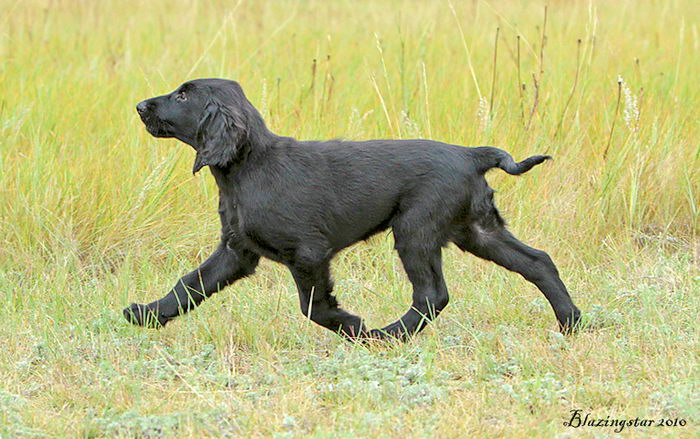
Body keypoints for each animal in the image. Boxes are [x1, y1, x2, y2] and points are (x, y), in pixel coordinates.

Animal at [124, 79, 580, 340]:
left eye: (183, 94)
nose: (140, 106)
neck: (247, 167)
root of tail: (470, 154)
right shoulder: (237, 251)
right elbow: (188, 285)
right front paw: (147, 314)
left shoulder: (308, 253)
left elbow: (314, 306)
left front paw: (352, 327)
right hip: (475, 229)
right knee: (538, 262)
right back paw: (572, 323)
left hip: (415, 230)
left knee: (432, 294)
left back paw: (386, 335)